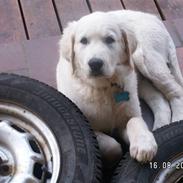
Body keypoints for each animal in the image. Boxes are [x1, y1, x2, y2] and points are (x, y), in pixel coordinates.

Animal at [56, 10, 183, 162]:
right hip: (139, 79)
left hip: (145, 59)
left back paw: (176, 122)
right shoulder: (85, 125)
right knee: (160, 99)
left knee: (177, 92)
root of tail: (154, 18)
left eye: (110, 39)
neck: (103, 87)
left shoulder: (129, 113)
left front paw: (143, 144)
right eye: (83, 41)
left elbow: (134, 120)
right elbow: (111, 145)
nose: (95, 64)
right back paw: (161, 127)